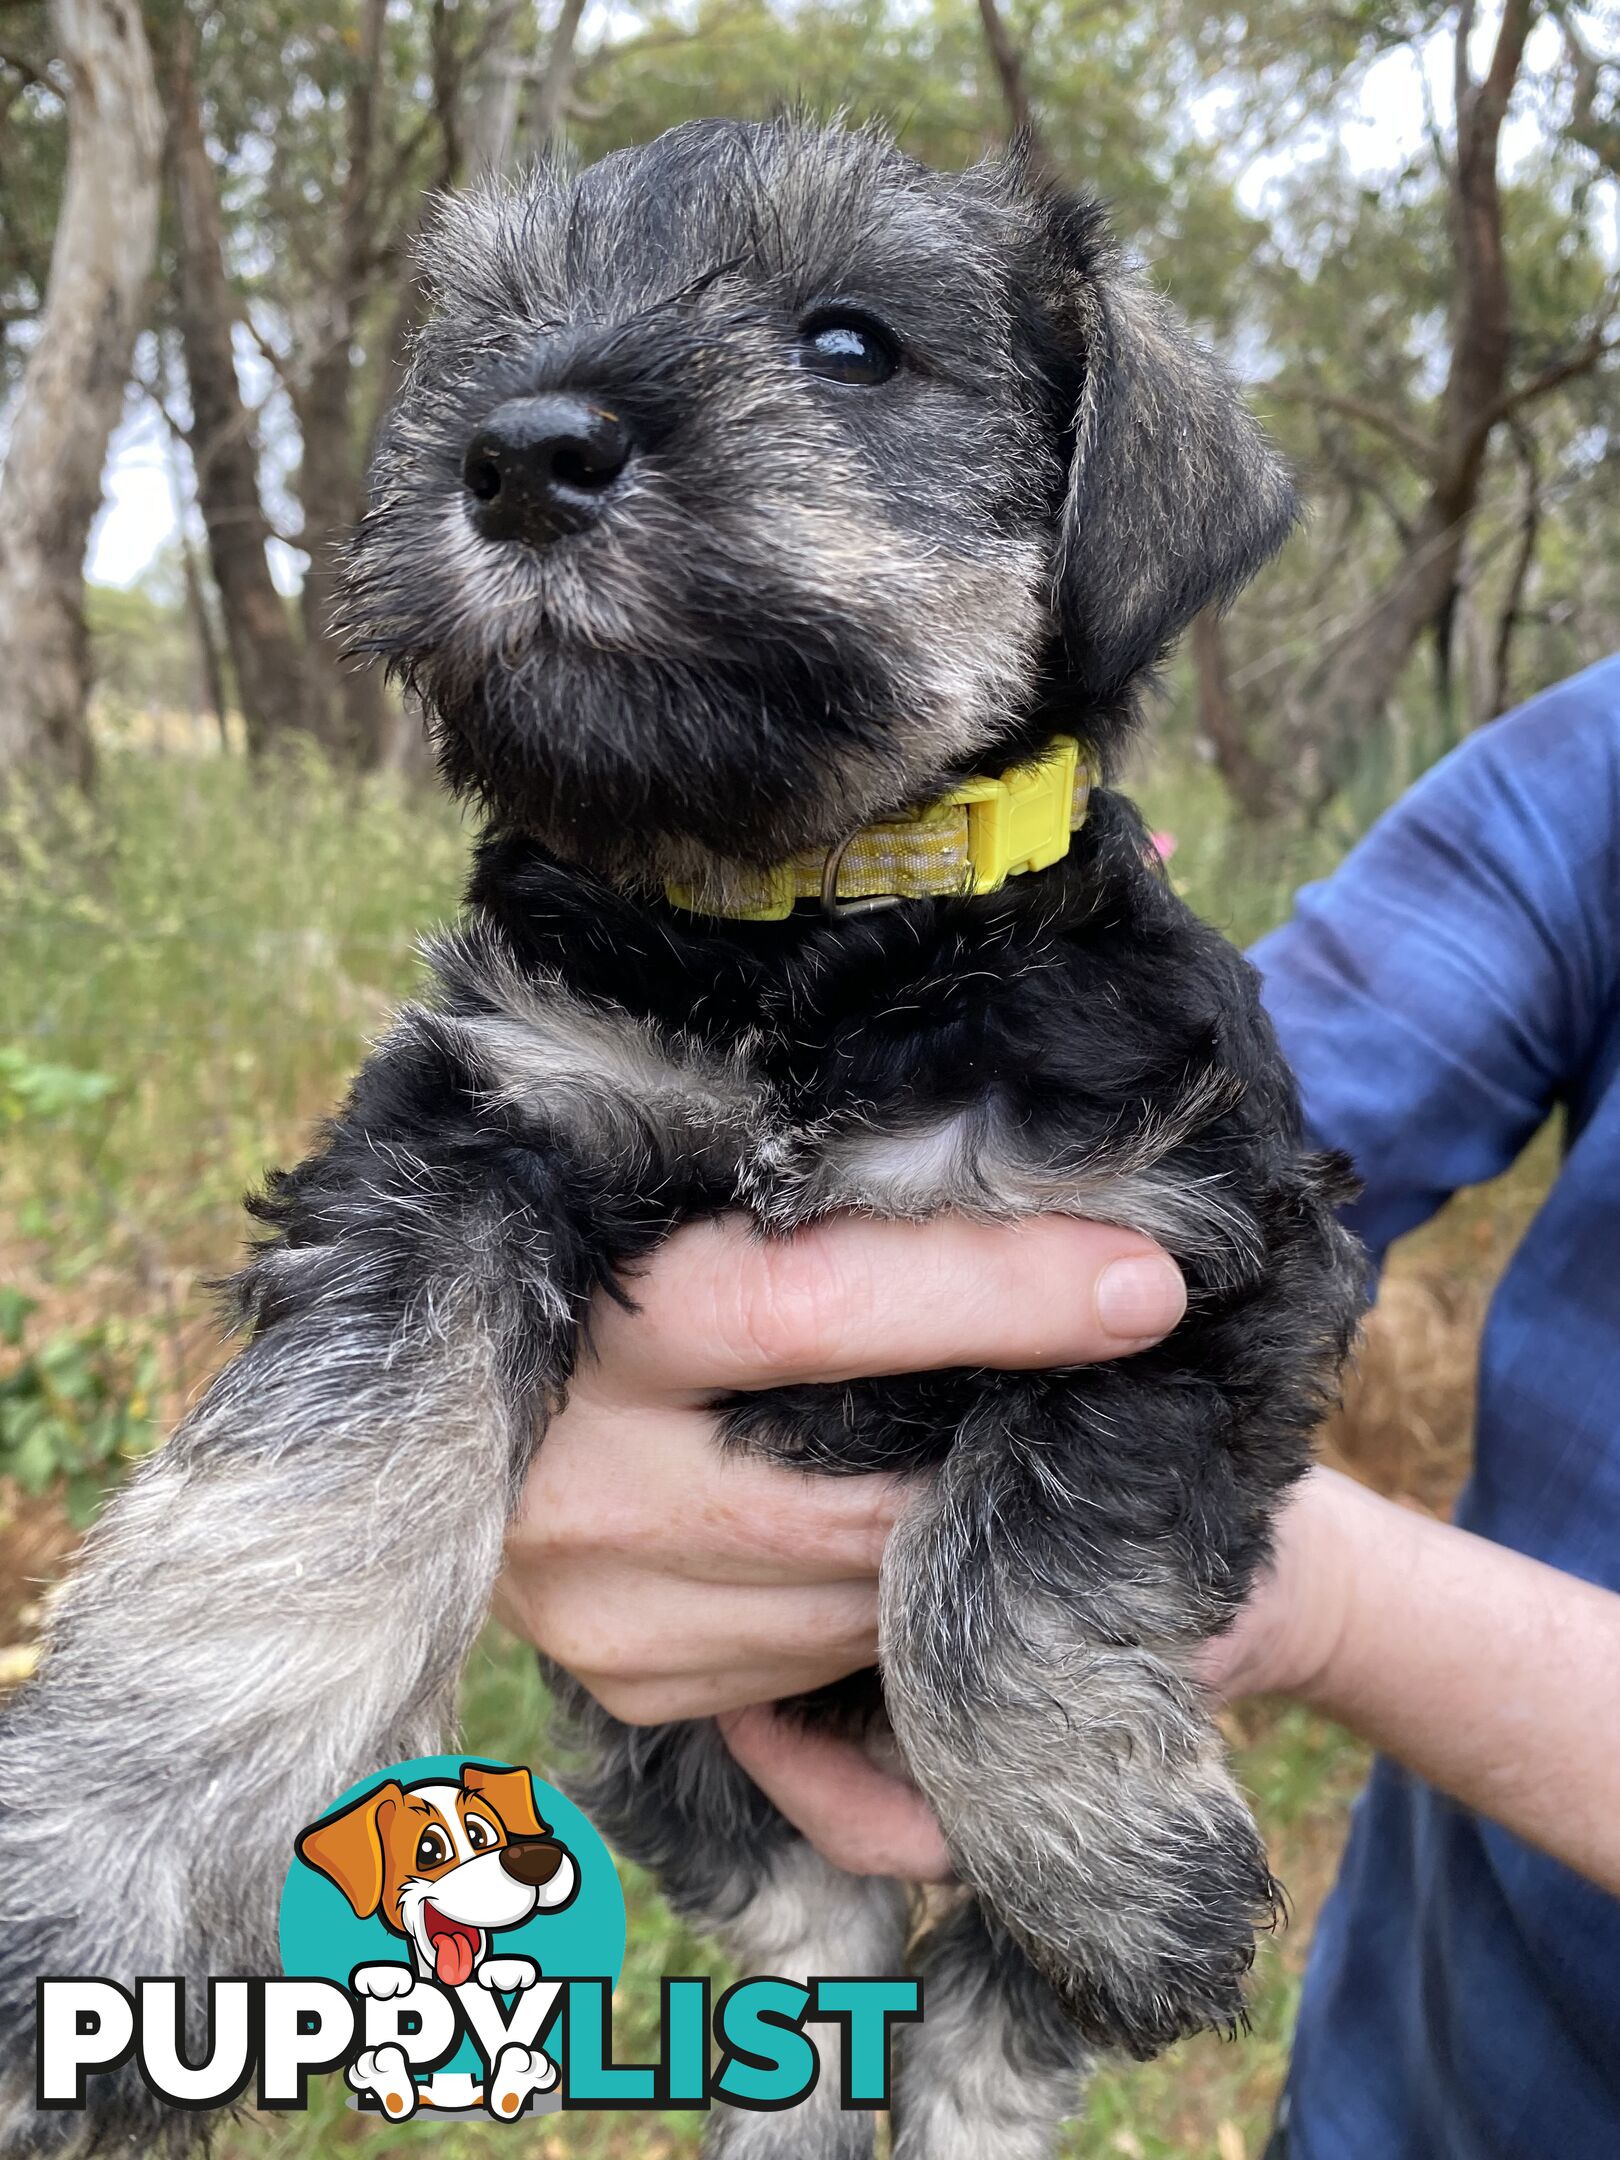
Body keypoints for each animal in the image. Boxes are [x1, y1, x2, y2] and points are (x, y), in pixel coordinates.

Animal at [0, 113, 1373, 2160]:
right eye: (492, 327)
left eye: (853, 341)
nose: (521, 451)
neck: (803, 928)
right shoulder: (468, 1136)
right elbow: (298, 1504)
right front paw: (102, 1879)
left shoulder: (1195, 1255)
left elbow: (1000, 1561)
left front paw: (1110, 1863)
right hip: (654, 1737)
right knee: (819, 1928)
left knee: (983, 2010)